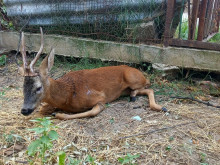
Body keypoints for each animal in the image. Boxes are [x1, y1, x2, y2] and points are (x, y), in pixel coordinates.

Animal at [18, 27, 167, 119]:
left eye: (38, 87)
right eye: (23, 87)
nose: (24, 110)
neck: (68, 95)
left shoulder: (100, 97)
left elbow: (92, 112)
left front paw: (58, 115)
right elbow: (42, 109)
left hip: (132, 78)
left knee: (149, 87)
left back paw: (161, 107)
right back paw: (133, 96)